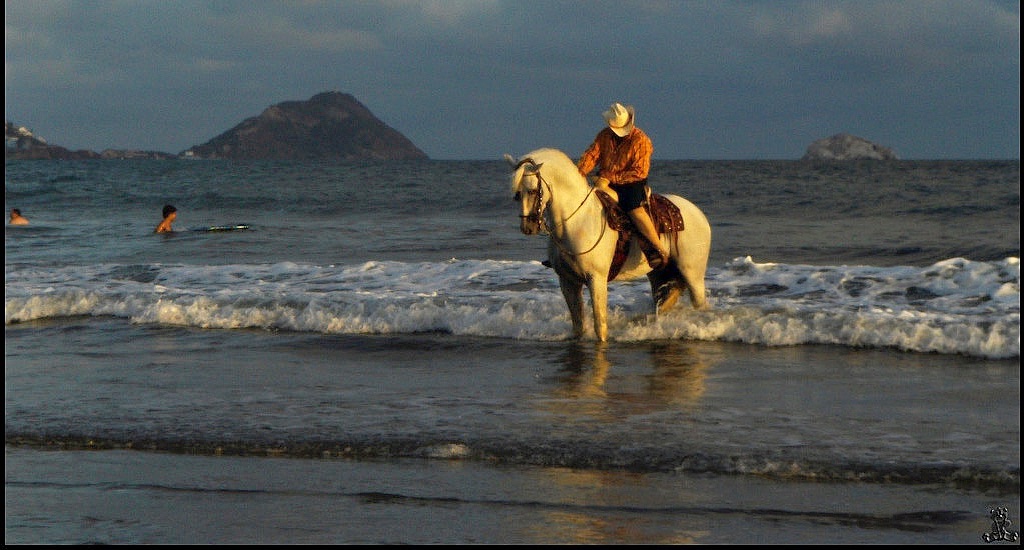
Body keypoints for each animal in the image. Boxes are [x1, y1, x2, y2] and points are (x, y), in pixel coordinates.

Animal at [505, 147, 712, 340]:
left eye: (533, 190)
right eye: (517, 194)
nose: (528, 227)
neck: (577, 222)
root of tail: (698, 214)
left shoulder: (596, 279)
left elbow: (600, 325)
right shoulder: (568, 281)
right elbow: (578, 326)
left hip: (692, 274)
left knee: (701, 304)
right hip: (659, 274)